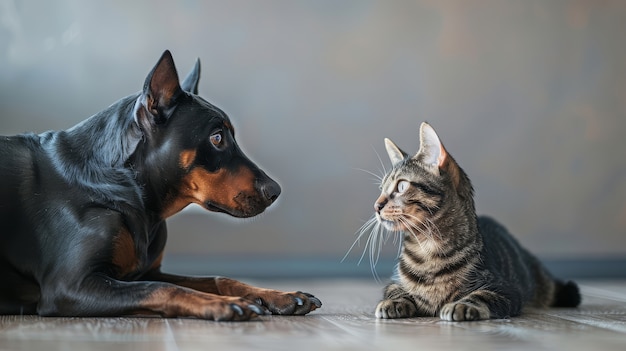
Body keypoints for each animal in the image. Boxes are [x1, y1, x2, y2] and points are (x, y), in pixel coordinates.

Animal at [0, 50, 320, 322]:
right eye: (217, 137)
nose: (275, 191)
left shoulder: (146, 271)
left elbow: (216, 278)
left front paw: (280, 295)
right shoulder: (70, 286)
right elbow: (162, 288)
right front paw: (223, 304)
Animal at [368, 121, 576, 322]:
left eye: (401, 186)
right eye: (381, 189)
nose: (376, 206)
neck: (427, 247)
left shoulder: (505, 288)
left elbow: (480, 295)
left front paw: (462, 305)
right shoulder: (394, 282)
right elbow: (395, 290)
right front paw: (394, 302)